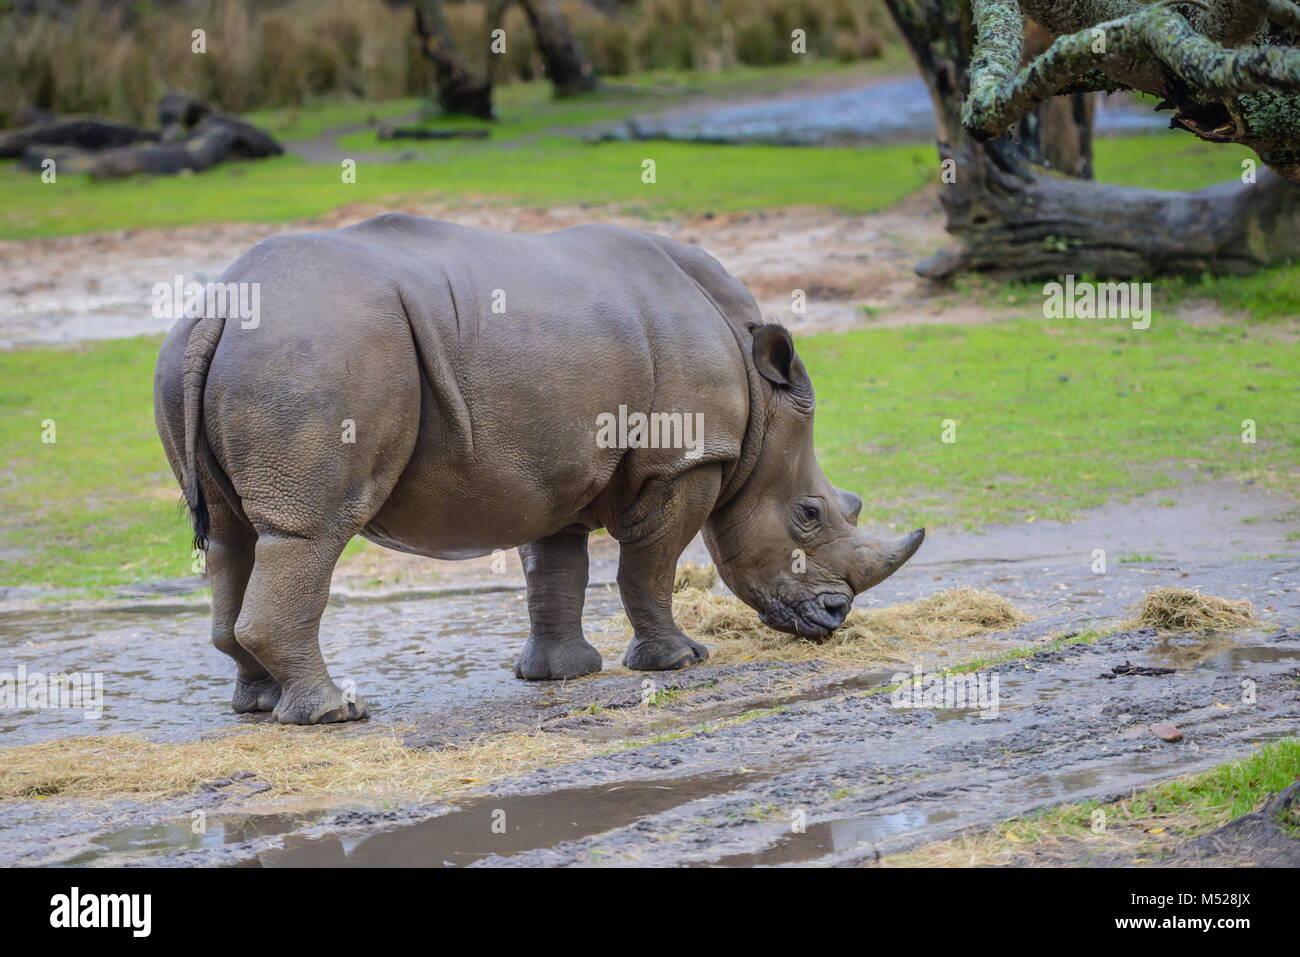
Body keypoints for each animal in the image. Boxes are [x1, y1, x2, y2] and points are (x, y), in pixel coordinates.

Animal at [154, 214, 925, 722]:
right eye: (809, 515)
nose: (835, 617)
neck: (762, 405)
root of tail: (220, 310)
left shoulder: (552, 467)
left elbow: (555, 570)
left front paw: (558, 676)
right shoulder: (684, 460)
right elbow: (649, 566)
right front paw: (681, 661)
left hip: (211, 353)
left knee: (232, 538)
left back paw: (258, 704)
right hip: (313, 353)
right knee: (308, 532)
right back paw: (335, 712)